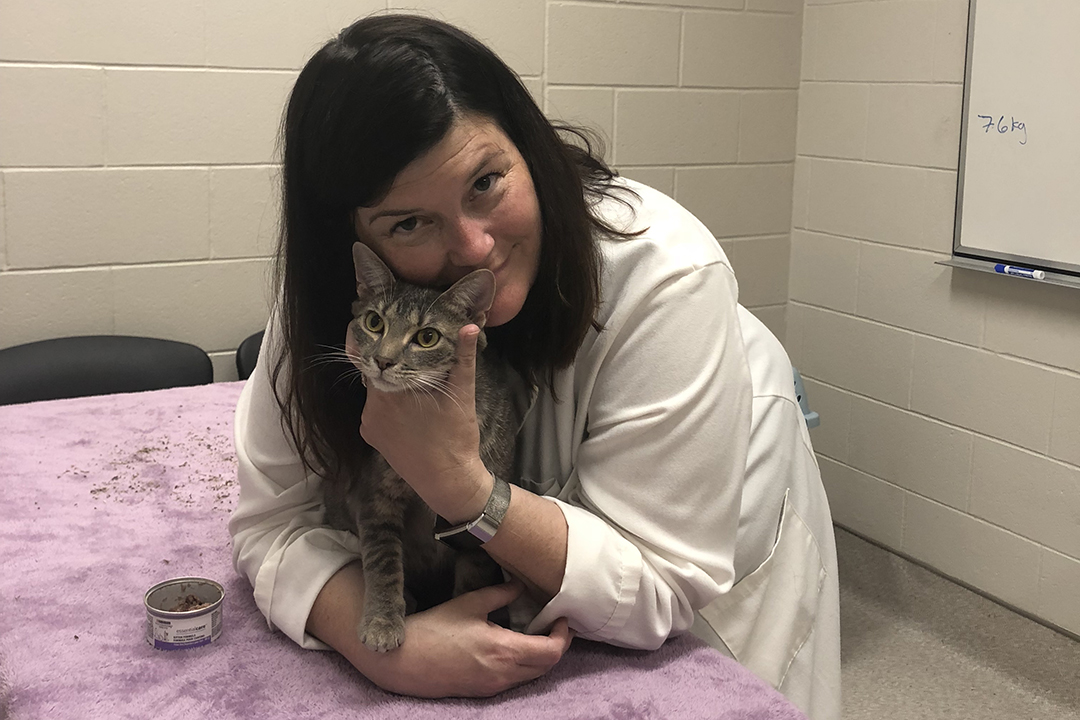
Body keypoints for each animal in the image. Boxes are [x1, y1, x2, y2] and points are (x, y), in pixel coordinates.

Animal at [321, 241, 516, 651]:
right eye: (374, 322)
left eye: (427, 337)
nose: (383, 360)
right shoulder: (374, 499)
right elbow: (382, 561)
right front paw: (382, 621)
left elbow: (473, 582)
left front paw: (462, 617)